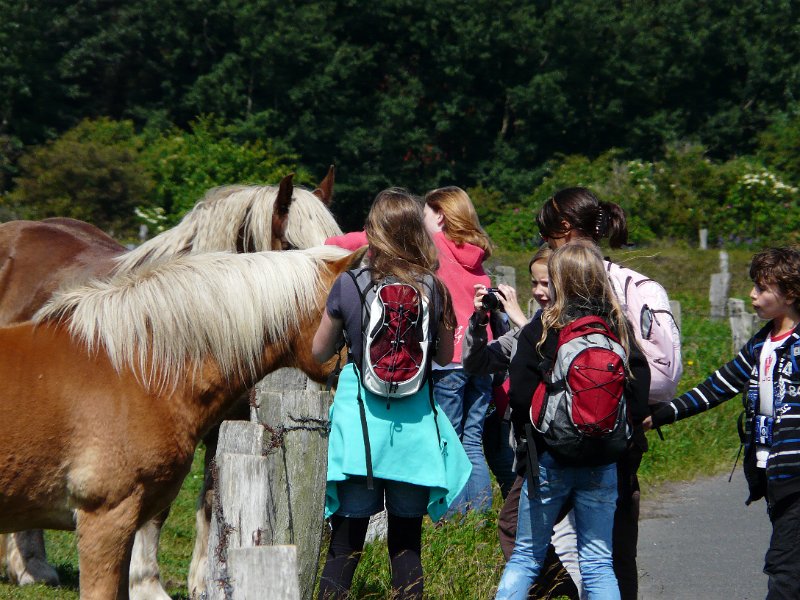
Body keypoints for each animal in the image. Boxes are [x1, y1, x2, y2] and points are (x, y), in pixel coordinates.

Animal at [0, 169, 343, 596]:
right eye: (292, 245)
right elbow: (156, 514)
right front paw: (145, 581)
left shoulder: (223, 427)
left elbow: (213, 497)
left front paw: (204, 579)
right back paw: (30, 565)